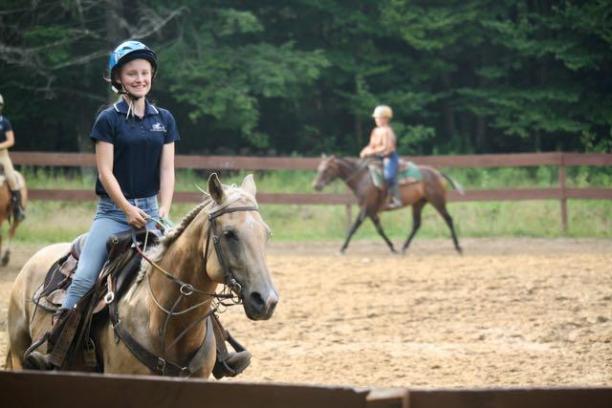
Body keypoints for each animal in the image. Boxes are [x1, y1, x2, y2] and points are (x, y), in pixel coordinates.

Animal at [314, 156, 462, 255]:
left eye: (326, 169)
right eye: (319, 169)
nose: (316, 185)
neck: (362, 179)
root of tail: (437, 172)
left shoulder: (366, 209)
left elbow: (354, 227)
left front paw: (342, 248)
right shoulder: (371, 211)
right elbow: (379, 229)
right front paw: (392, 247)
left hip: (437, 201)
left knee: (448, 219)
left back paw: (458, 247)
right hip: (418, 203)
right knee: (416, 224)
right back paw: (404, 247)